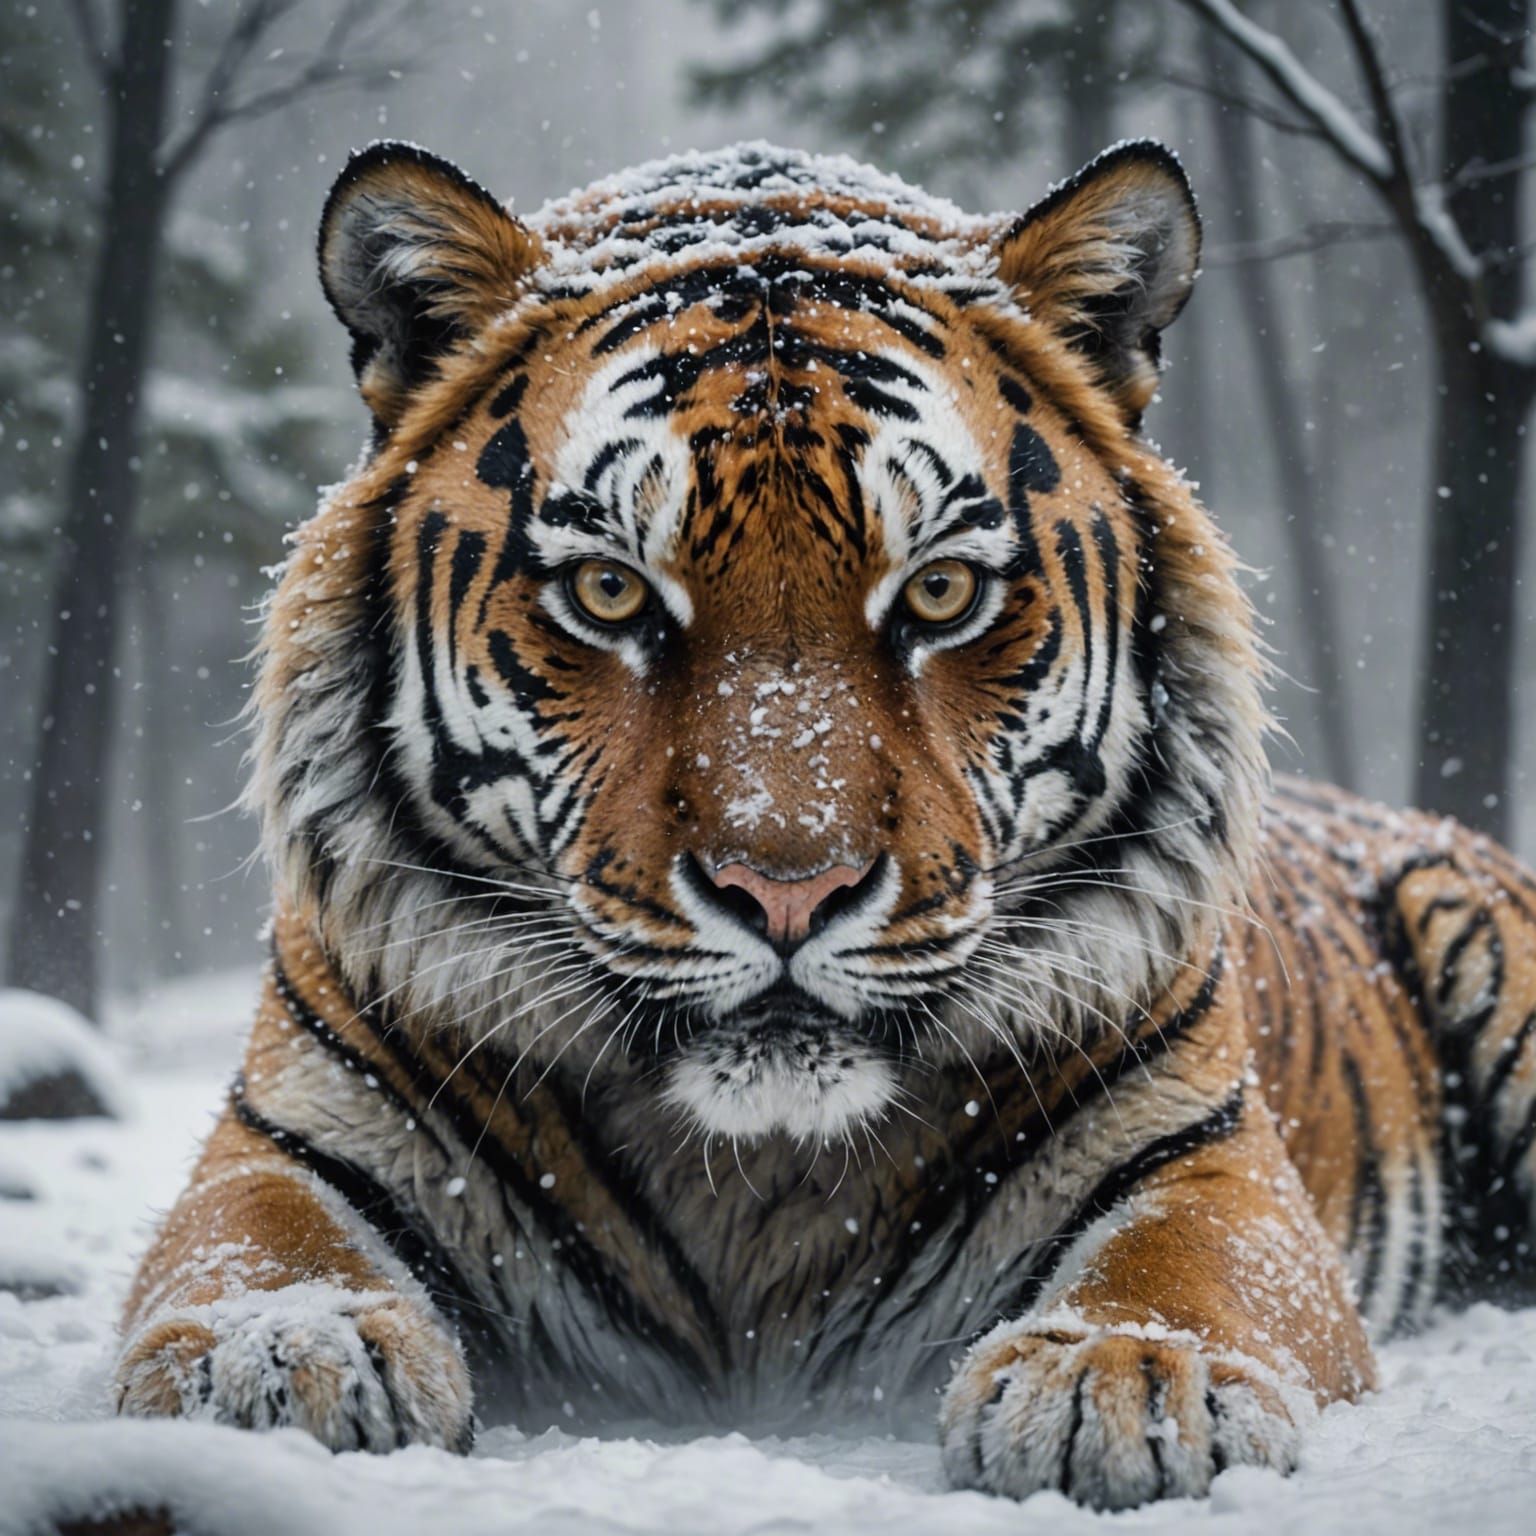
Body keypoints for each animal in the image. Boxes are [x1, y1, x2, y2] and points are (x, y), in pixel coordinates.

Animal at [111, 138, 1536, 1511]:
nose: (786, 890)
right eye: (611, 593)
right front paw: (275, 1350)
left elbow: (1182, 1266)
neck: (754, 1181)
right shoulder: (296, 1133)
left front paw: (1122, 1377)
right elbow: (254, 1247)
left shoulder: (1204, 1148)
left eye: (943, 591)